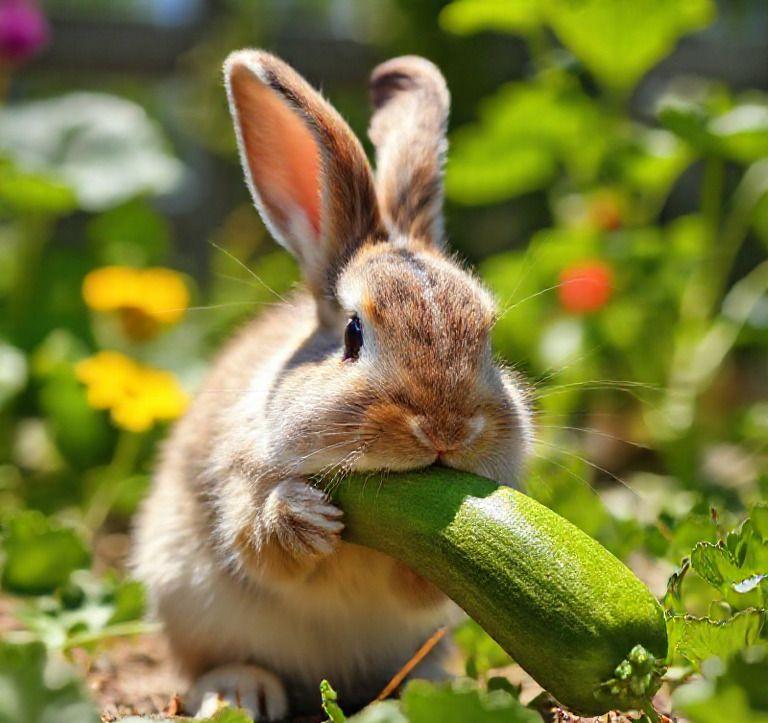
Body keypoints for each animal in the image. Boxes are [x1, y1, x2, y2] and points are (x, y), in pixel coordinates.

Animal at [132, 48, 532, 720]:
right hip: (185, 592)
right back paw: (239, 690)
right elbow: (259, 543)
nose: (446, 429)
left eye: (488, 337)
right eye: (352, 333)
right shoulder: (237, 479)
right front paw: (302, 518)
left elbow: (421, 587)